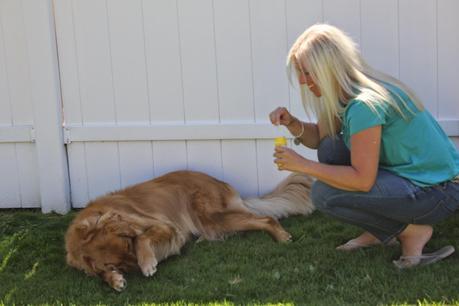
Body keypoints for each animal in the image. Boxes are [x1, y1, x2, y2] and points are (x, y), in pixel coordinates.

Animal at [64, 171, 314, 290]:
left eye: (128, 243)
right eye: (117, 264)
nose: (134, 268)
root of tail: (219, 181)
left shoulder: (166, 226)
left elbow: (144, 238)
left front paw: (147, 263)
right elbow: (99, 273)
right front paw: (114, 279)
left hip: (212, 218)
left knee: (267, 218)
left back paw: (281, 236)